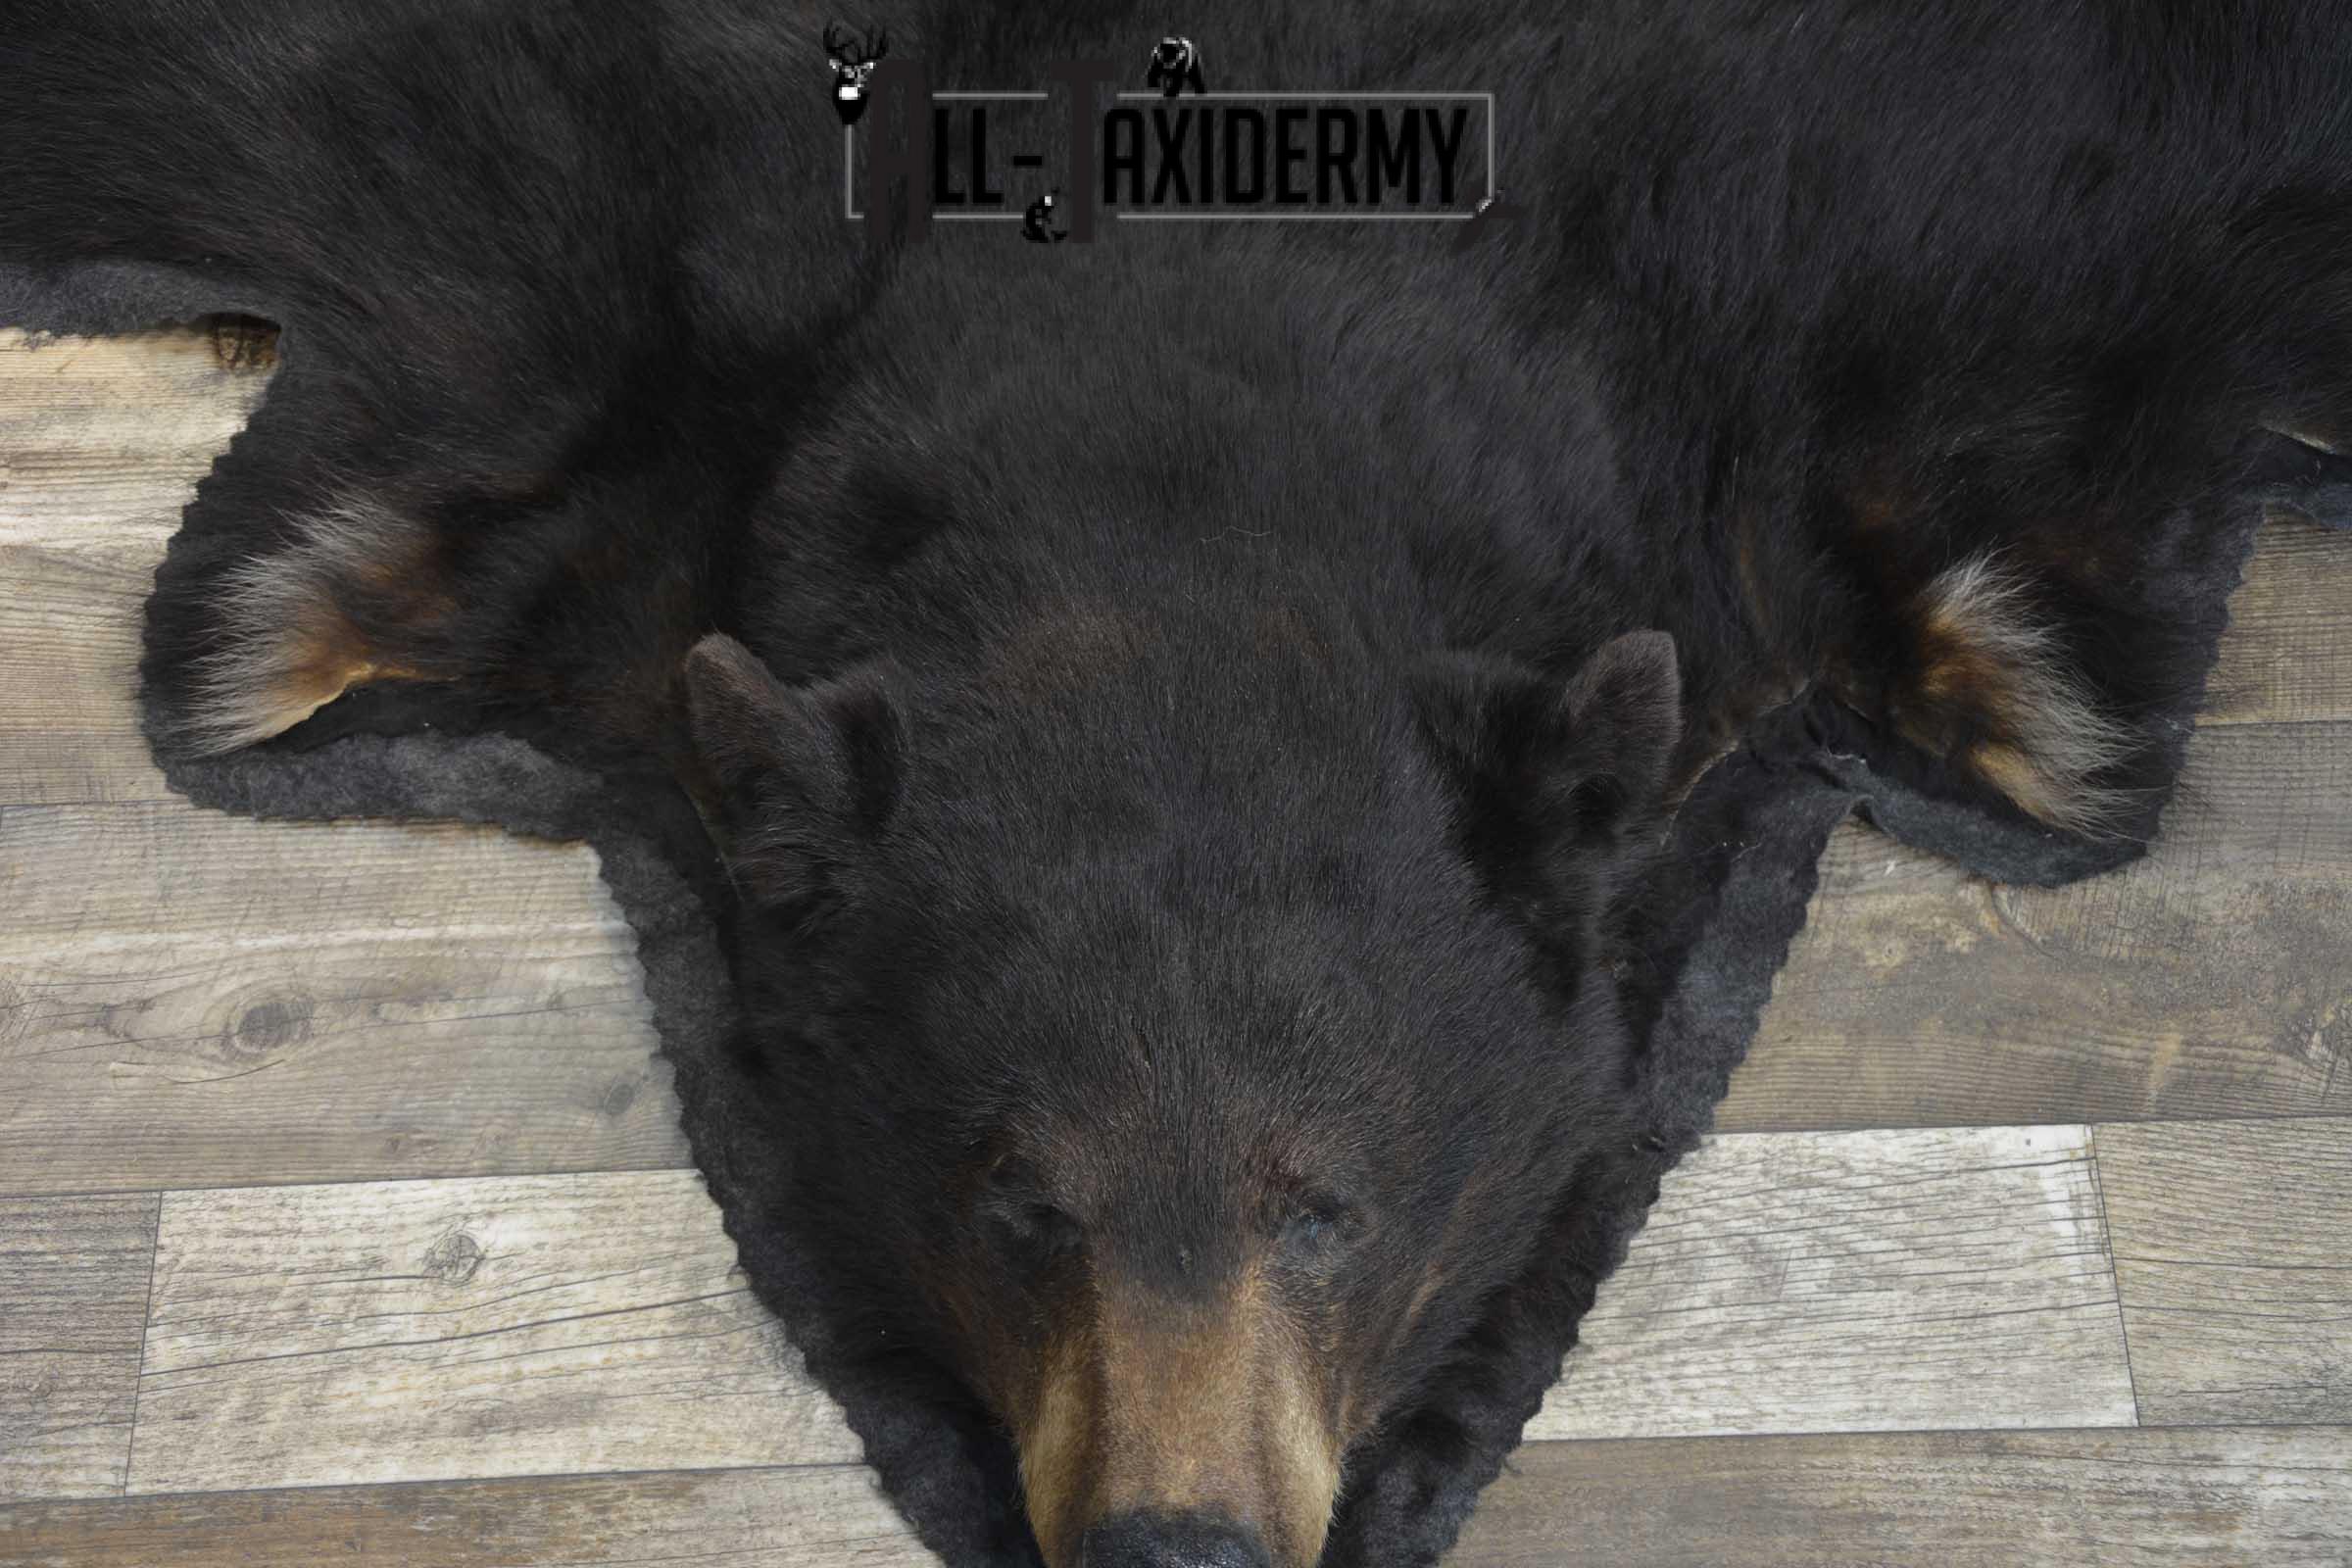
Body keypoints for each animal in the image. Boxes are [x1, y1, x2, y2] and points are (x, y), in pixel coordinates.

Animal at [6, 1, 2352, 1565]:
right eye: (1015, 1205)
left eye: (1330, 1203)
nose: (1176, 1547)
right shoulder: (579, 388)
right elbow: (260, 631)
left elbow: (2043, 693)